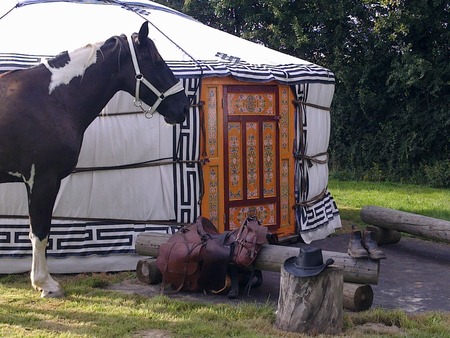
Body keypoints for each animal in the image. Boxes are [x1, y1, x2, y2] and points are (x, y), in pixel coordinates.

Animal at [0, 22, 189, 296]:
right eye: (156, 61)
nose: (184, 107)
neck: (51, 99)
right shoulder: (42, 179)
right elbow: (40, 232)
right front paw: (44, 283)